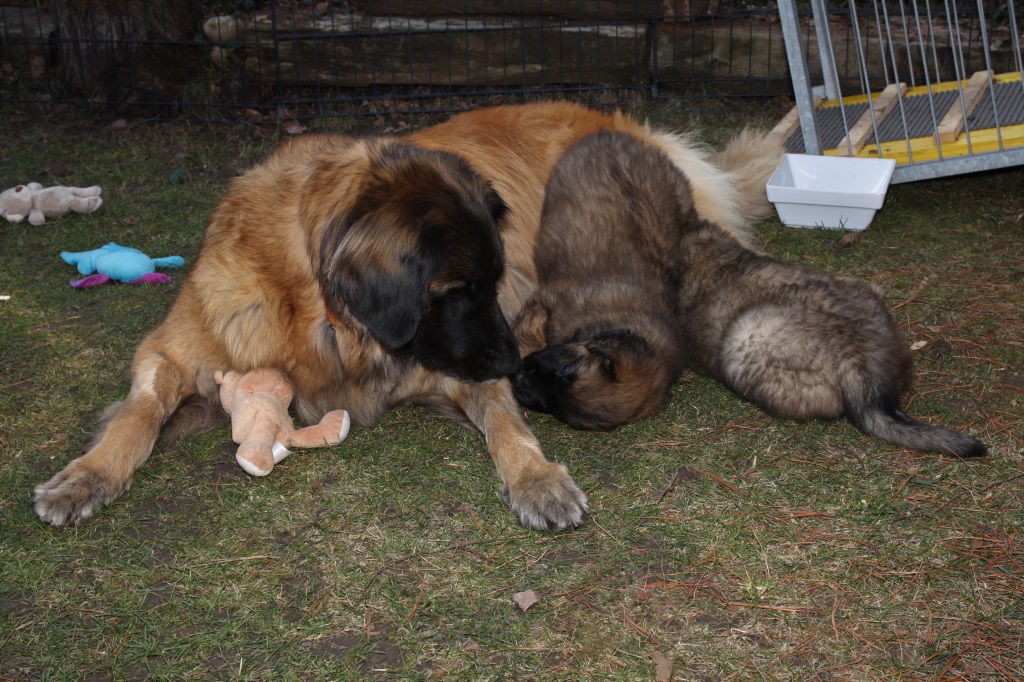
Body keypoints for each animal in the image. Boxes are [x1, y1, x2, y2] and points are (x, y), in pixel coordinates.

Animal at [32, 100, 782, 528]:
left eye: (492, 282)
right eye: (456, 290)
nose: (514, 359)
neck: (321, 316)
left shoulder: (464, 369)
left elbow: (507, 423)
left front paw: (538, 480)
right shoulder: (174, 348)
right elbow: (137, 415)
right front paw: (86, 476)